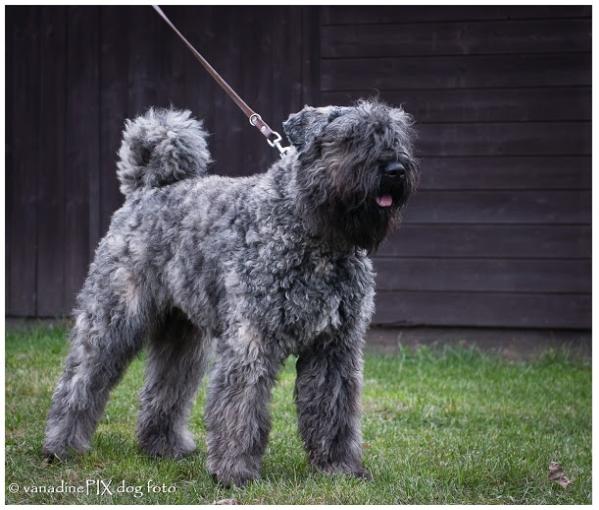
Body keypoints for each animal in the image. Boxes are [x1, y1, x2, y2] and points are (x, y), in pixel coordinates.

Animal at [43, 99, 418, 486]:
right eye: (349, 138)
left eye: (396, 135)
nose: (394, 170)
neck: (312, 234)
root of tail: (143, 191)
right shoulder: (251, 339)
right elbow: (241, 405)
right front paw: (235, 472)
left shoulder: (334, 348)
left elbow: (334, 409)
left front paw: (339, 467)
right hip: (113, 318)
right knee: (81, 378)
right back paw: (61, 446)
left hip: (182, 335)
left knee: (165, 387)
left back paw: (162, 446)